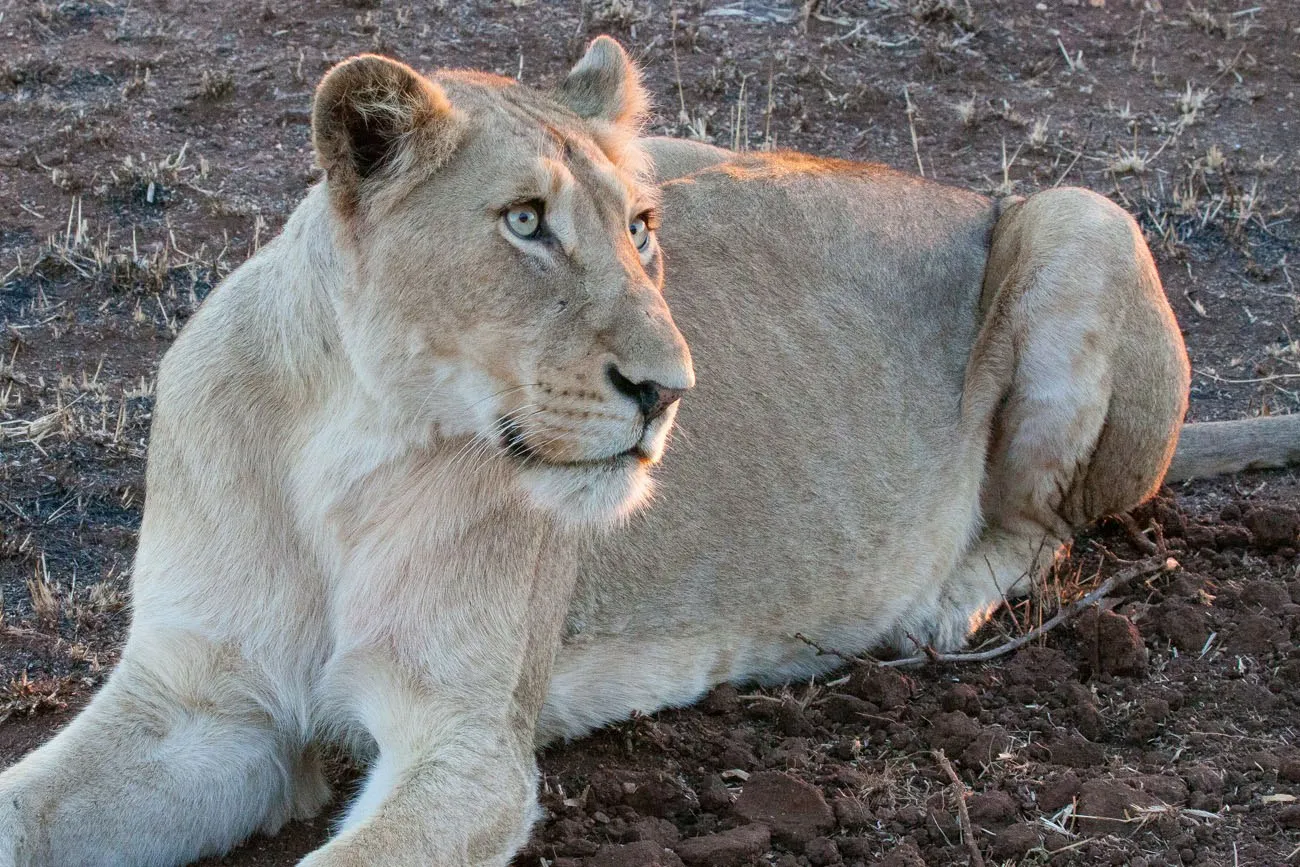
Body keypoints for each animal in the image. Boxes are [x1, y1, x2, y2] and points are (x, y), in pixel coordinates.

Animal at [2, 37, 1300, 867]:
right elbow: (24, 811)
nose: (671, 392)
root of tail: (959, 189)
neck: (348, 446)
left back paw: (935, 606)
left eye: (637, 230)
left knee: (1050, 524)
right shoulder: (200, 708)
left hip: (1082, 216)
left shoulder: (469, 744)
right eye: (525, 223)